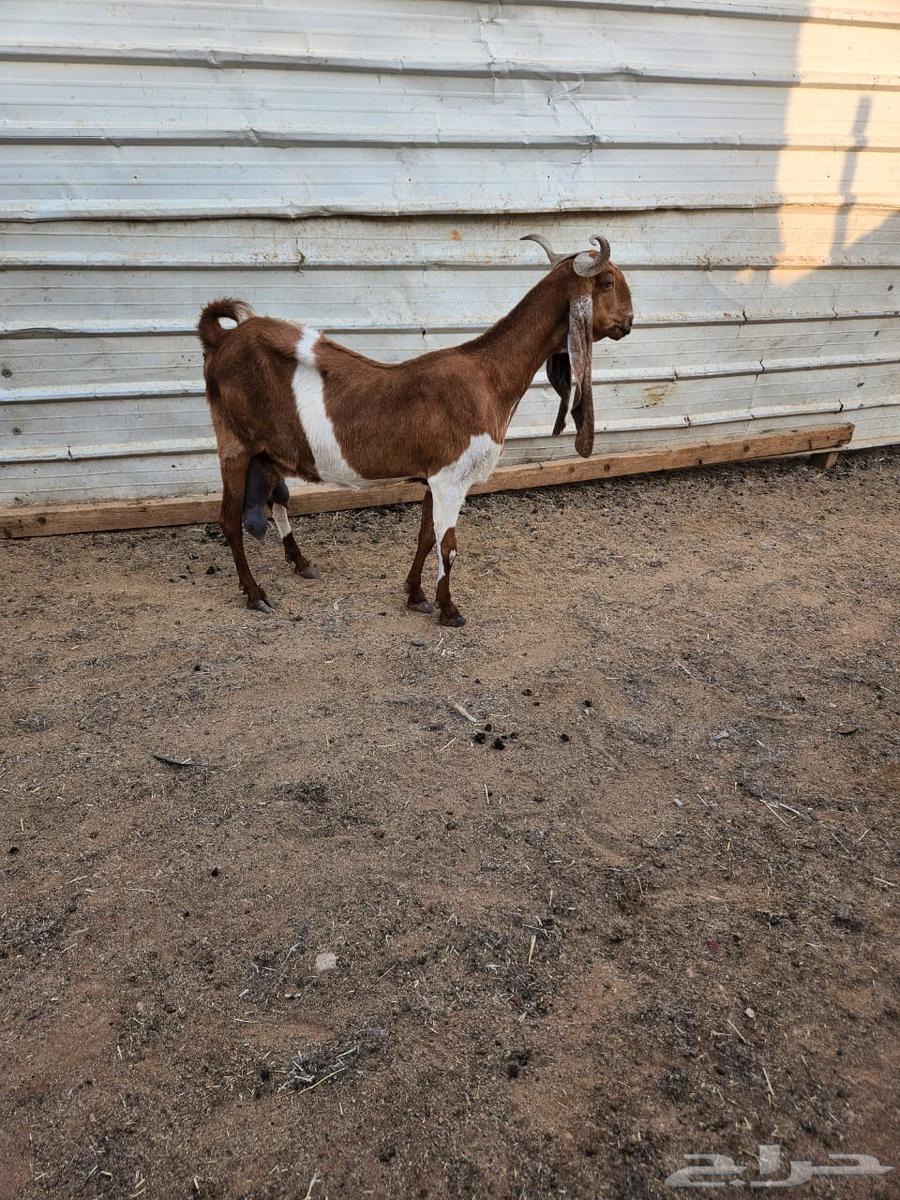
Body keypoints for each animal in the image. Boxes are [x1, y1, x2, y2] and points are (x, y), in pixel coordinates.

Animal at [197, 234, 633, 624]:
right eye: (608, 282)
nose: (629, 322)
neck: (488, 375)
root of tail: (222, 339)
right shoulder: (452, 478)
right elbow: (449, 547)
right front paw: (449, 610)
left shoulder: (434, 478)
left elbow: (427, 537)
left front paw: (416, 595)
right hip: (234, 444)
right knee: (229, 520)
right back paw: (255, 593)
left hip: (268, 450)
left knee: (276, 499)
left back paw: (300, 562)